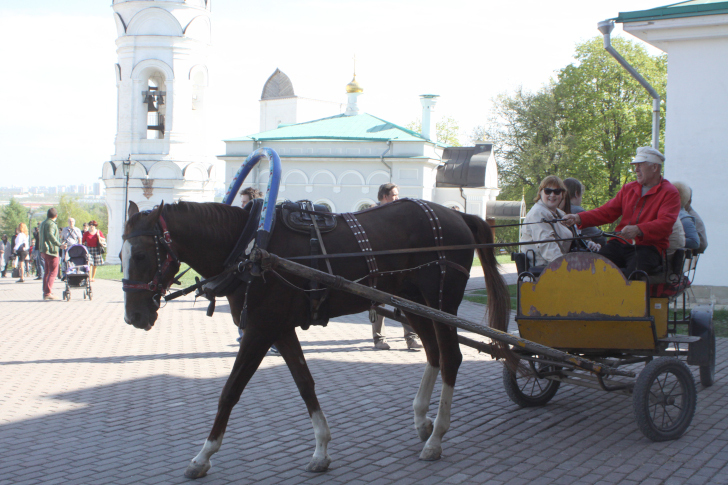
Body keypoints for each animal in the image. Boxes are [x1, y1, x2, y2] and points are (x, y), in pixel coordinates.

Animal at [122, 198, 510, 476]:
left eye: (140, 254)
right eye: (121, 254)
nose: (133, 317)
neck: (250, 246)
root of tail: (459, 216)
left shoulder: (260, 330)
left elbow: (230, 391)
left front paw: (203, 455)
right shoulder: (279, 330)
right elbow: (304, 383)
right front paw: (322, 449)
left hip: (441, 301)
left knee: (451, 357)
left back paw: (436, 437)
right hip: (412, 302)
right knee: (433, 353)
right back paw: (421, 420)